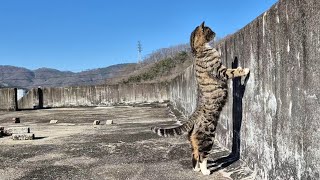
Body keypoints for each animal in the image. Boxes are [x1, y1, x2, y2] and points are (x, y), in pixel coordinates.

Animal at [152, 21, 250, 176]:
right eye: (210, 30)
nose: (215, 32)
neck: (198, 50)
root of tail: (194, 115)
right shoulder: (219, 70)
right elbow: (232, 72)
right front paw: (243, 70)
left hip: (195, 141)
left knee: (194, 154)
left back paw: (197, 168)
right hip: (208, 136)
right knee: (202, 154)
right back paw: (205, 171)